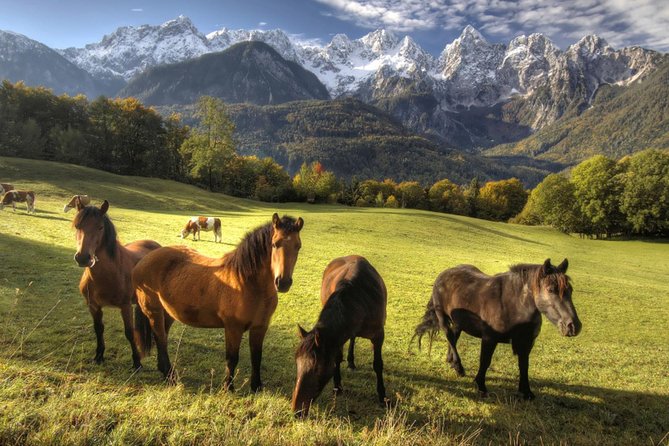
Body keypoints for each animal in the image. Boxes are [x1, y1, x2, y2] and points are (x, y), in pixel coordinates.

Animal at [73, 200, 161, 368]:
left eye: (100, 227)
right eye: (77, 226)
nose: (83, 258)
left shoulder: (125, 306)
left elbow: (129, 332)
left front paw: (137, 362)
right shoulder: (93, 306)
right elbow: (98, 329)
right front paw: (99, 356)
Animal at [133, 213, 304, 390]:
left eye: (298, 246)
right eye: (274, 244)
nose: (283, 282)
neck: (245, 282)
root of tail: (143, 260)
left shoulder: (260, 327)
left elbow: (257, 357)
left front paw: (256, 387)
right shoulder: (233, 328)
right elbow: (232, 358)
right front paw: (228, 387)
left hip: (168, 313)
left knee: (162, 338)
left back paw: (166, 373)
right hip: (154, 311)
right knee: (160, 338)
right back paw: (170, 376)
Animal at [292, 255, 387, 418]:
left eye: (316, 368)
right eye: (297, 364)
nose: (297, 410)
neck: (359, 300)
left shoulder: (378, 335)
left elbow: (378, 364)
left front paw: (382, 396)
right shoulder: (337, 338)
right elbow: (336, 358)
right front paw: (337, 386)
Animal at [413, 258, 581, 400]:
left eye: (571, 290)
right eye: (551, 290)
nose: (574, 326)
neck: (514, 304)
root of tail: (444, 274)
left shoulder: (526, 343)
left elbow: (524, 366)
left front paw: (526, 391)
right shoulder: (489, 339)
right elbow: (485, 361)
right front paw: (480, 386)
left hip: (458, 322)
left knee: (453, 339)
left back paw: (452, 362)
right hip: (442, 317)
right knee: (449, 336)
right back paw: (459, 367)